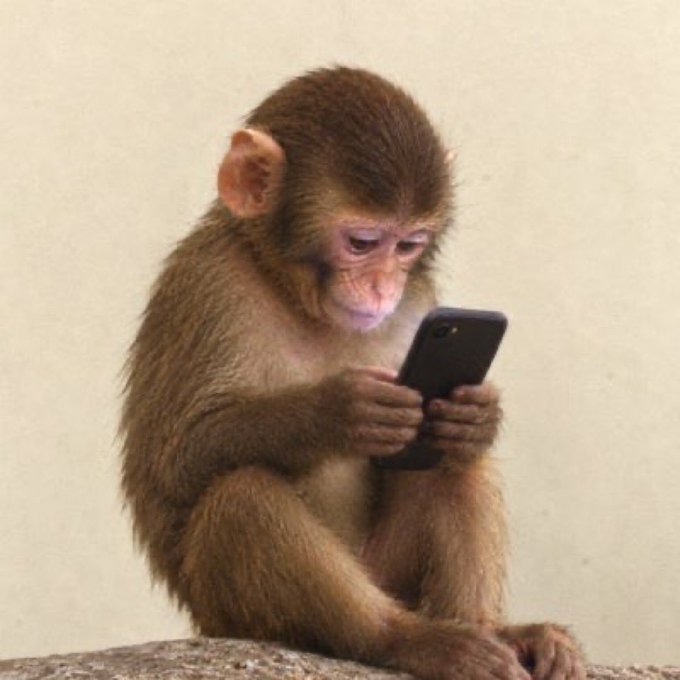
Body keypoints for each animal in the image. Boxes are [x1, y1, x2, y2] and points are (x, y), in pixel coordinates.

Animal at [120, 66, 584, 680]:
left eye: (408, 245)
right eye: (362, 243)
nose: (384, 287)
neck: (292, 291)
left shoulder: (421, 301)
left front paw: (478, 413)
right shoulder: (207, 283)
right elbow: (175, 460)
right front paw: (338, 411)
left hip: (392, 572)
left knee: (455, 460)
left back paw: (495, 629)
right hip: (233, 616)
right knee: (242, 496)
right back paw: (404, 639)